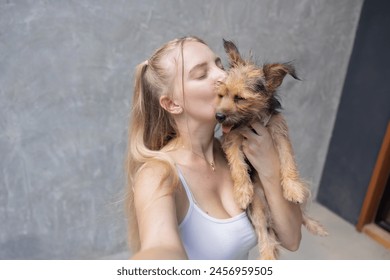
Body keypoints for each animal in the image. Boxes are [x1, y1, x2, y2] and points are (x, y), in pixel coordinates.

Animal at [215, 38, 328, 258]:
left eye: (240, 98)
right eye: (221, 95)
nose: (219, 116)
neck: (252, 121)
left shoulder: (279, 133)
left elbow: (287, 158)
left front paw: (292, 187)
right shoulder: (231, 140)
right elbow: (237, 165)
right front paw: (243, 191)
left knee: (301, 213)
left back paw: (315, 225)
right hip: (258, 209)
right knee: (265, 235)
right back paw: (267, 255)